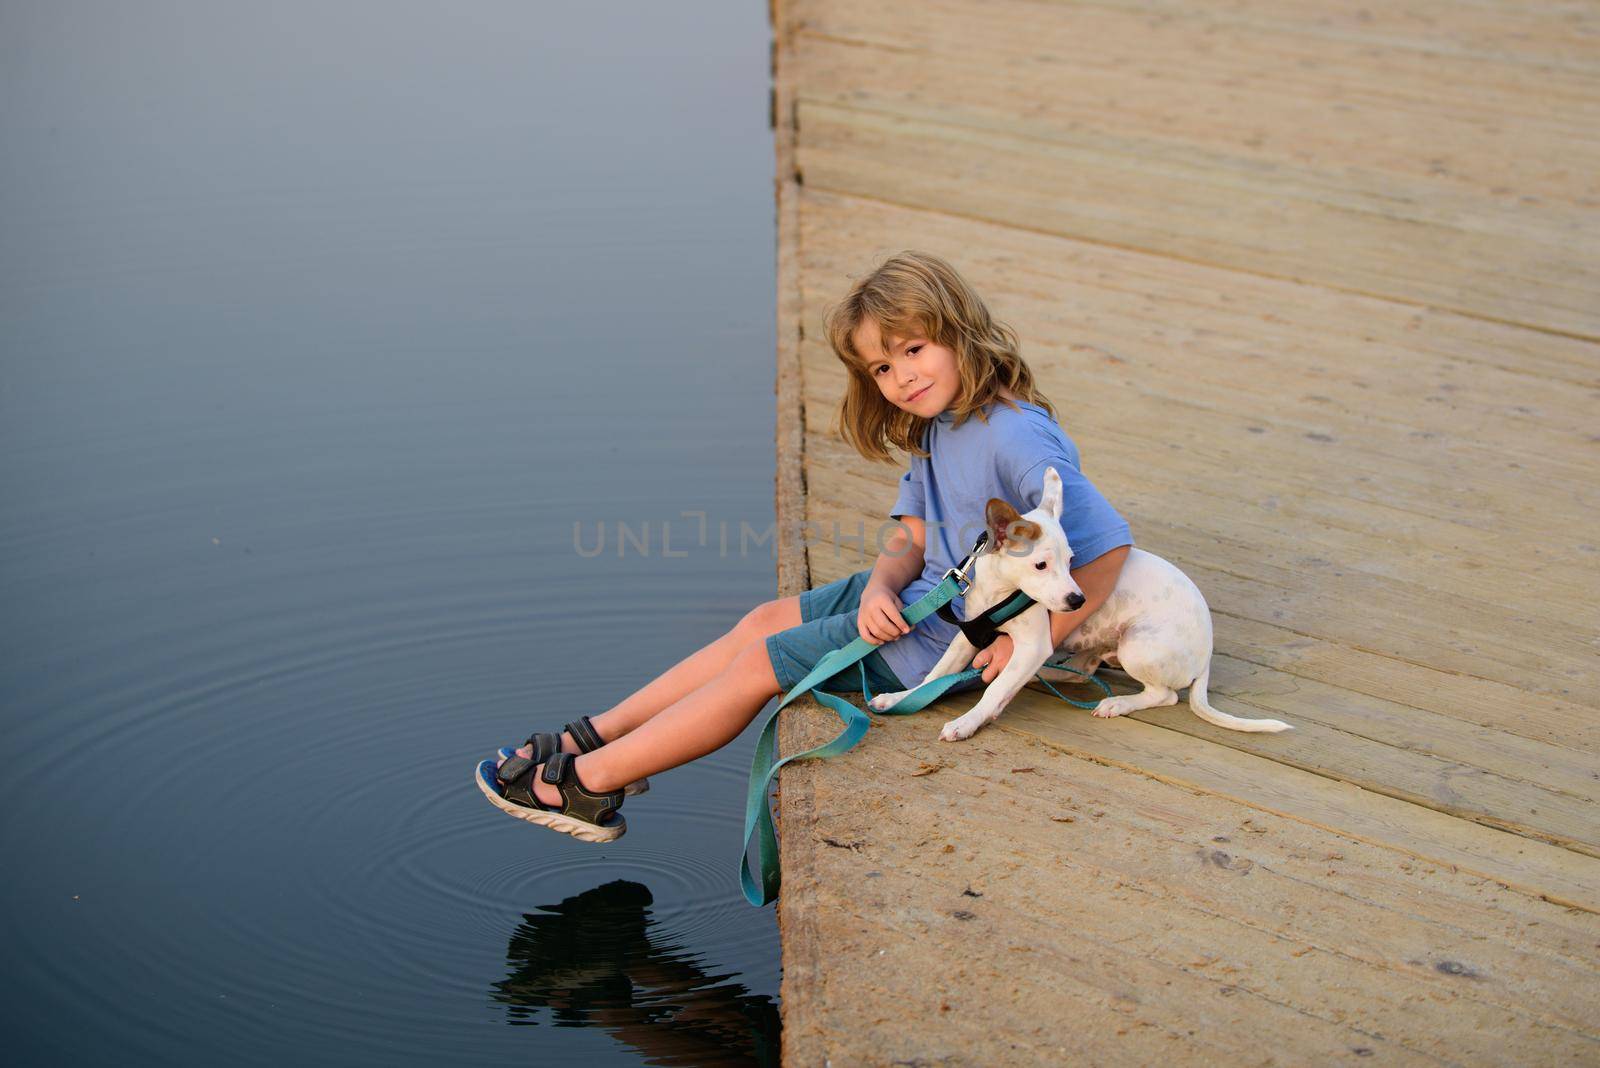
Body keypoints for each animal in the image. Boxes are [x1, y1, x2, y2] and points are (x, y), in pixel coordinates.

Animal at [870, 466, 1292, 741]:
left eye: (1072, 560)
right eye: (1041, 565)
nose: (1077, 600)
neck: (1001, 592)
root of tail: (1206, 654)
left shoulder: (1031, 644)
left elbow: (994, 689)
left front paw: (967, 722)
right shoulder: (971, 634)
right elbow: (935, 676)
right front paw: (900, 698)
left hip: (1137, 644)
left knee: (1166, 694)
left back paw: (1117, 703)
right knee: (1081, 672)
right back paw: (1051, 674)